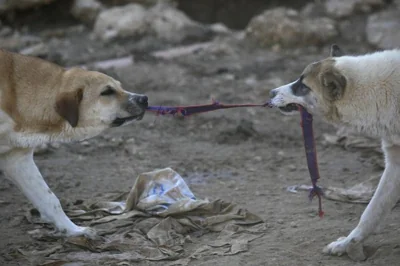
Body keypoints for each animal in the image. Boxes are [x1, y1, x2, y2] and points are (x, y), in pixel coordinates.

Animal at [0, 48, 148, 238]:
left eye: (120, 86)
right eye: (107, 92)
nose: (144, 98)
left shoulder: (16, 159)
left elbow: (49, 198)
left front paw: (74, 230)